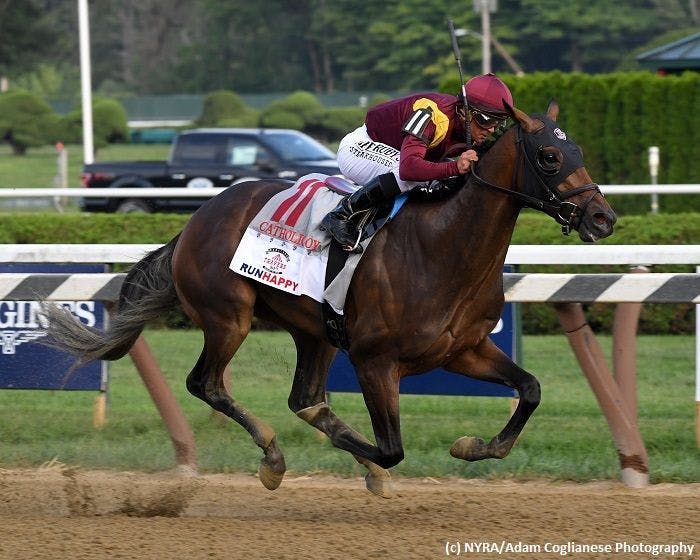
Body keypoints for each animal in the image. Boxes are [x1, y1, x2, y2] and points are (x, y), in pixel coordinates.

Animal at [43, 98, 616, 496]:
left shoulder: (465, 350)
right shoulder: (373, 360)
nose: (602, 217)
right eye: (548, 155)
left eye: (580, 151)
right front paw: (369, 463)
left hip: (313, 330)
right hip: (229, 317)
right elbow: (391, 449)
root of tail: (195, 221)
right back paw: (273, 458)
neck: (442, 247)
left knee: (304, 399)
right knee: (206, 383)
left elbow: (530, 389)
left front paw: (474, 445)